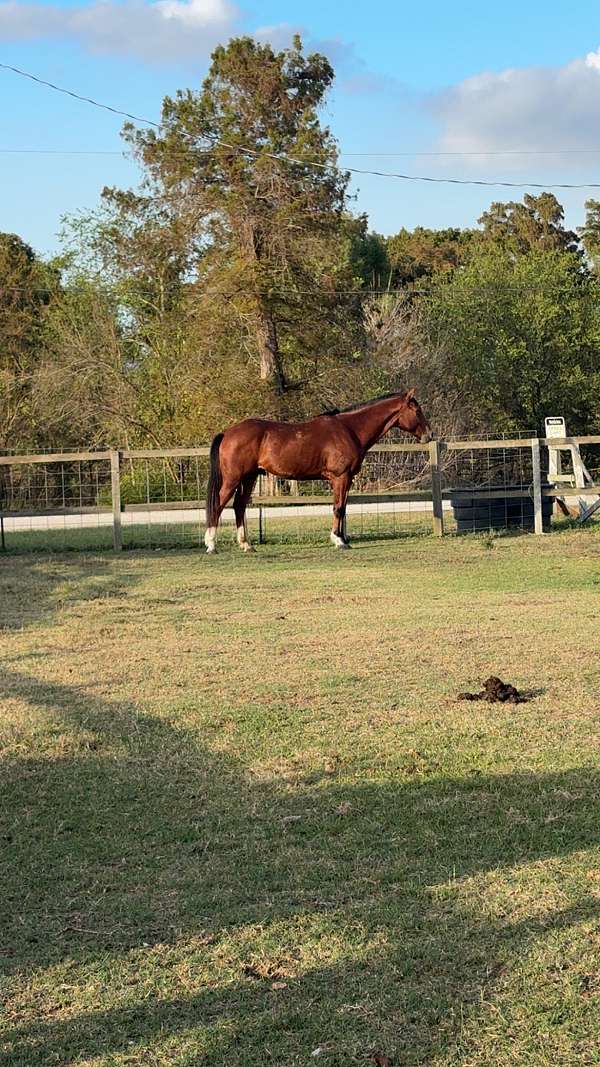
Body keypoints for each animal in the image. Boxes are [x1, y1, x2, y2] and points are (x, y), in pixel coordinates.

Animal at [204, 390, 431, 553]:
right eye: (417, 411)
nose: (429, 435)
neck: (349, 430)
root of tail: (227, 433)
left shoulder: (346, 479)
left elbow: (343, 508)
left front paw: (343, 539)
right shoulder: (340, 477)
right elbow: (338, 508)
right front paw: (338, 541)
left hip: (249, 478)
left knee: (239, 506)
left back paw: (246, 544)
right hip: (233, 479)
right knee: (219, 504)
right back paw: (211, 544)